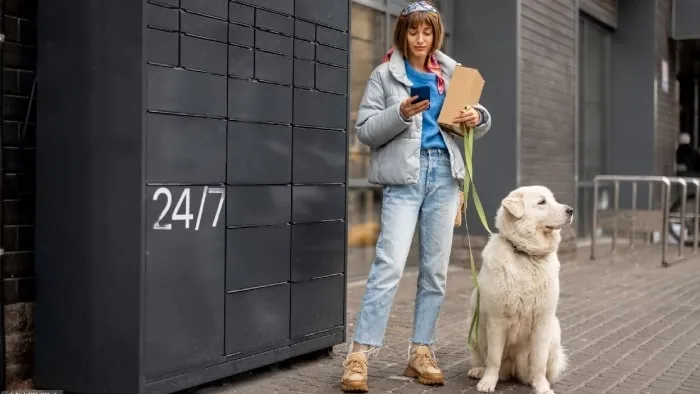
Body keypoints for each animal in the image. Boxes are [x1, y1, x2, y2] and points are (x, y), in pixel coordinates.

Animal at [468, 185, 572, 394]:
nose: (571, 210)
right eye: (541, 202)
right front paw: (487, 382)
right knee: (482, 358)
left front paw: (542, 387)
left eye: (553, 199)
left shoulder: (542, 320)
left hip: (554, 330)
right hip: (474, 324)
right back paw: (478, 370)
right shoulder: (497, 320)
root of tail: (512, 371)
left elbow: (539, 362)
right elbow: (493, 358)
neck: (526, 254)